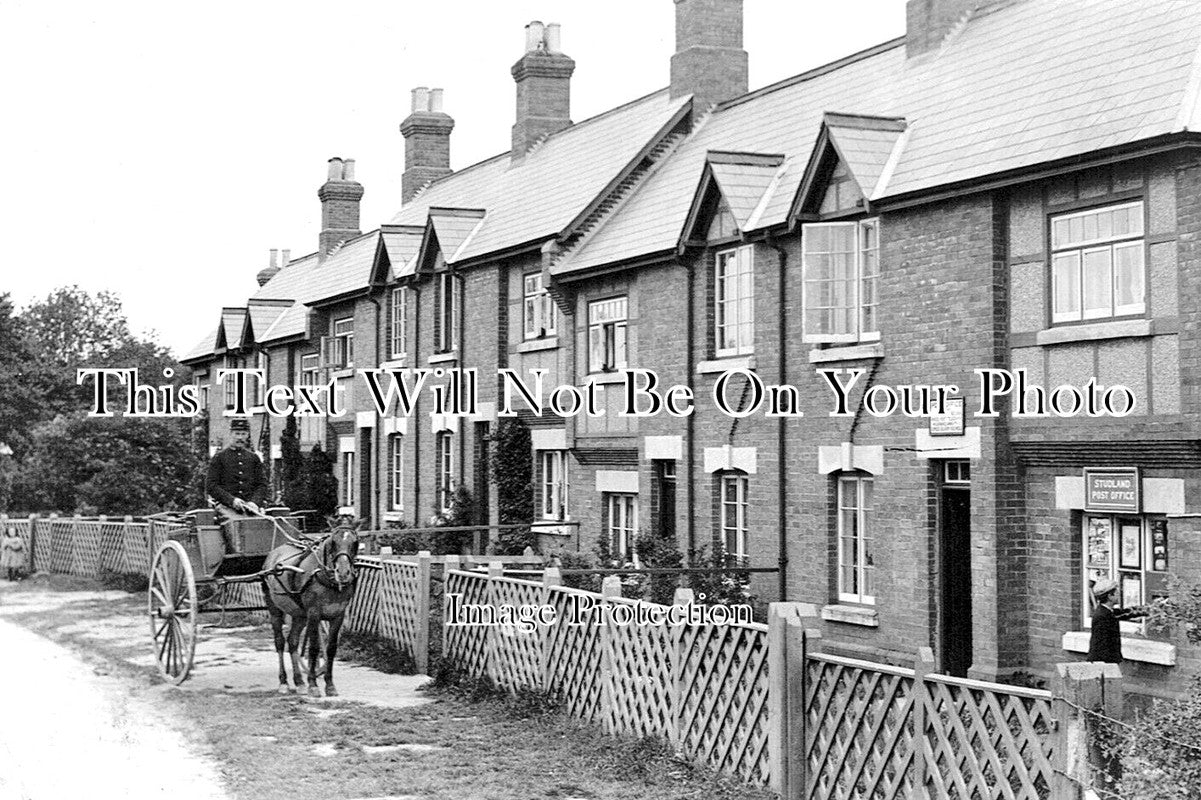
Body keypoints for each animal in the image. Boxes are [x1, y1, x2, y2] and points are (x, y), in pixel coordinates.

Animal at [259, 516, 360, 691]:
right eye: (333, 542)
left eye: (355, 542)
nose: (343, 573)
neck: (326, 577)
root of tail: (274, 553)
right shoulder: (314, 614)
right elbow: (313, 648)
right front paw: (313, 684)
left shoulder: (338, 615)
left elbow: (331, 648)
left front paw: (329, 684)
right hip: (274, 609)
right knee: (280, 642)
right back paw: (284, 682)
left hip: (299, 614)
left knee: (292, 641)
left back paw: (299, 680)